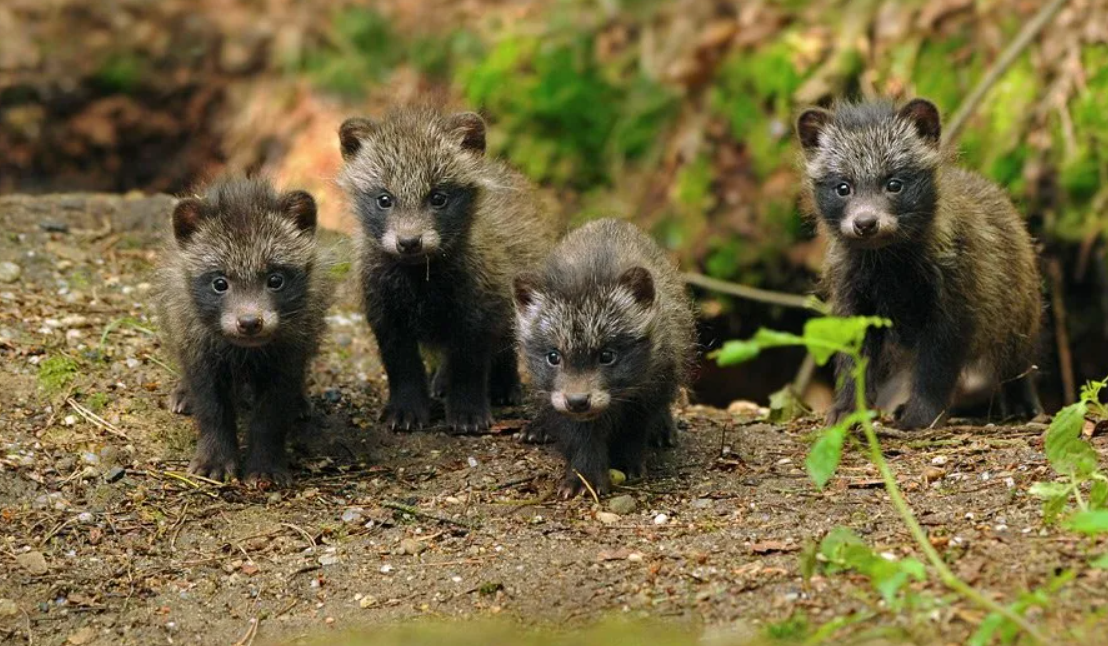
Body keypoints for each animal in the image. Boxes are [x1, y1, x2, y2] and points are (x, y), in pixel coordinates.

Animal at [157, 177, 327, 485]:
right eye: (219, 283)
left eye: (275, 279)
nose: (249, 322)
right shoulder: (198, 346)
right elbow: (211, 406)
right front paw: (215, 456)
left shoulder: (288, 354)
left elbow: (271, 415)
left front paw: (265, 463)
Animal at [511, 219, 691, 498]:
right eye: (553, 357)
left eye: (607, 355)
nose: (577, 401)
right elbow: (580, 437)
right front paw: (584, 476)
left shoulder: (649, 388)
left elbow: (633, 428)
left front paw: (626, 462)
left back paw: (664, 428)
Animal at [797, 97, 1037, 429]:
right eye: (843, 187)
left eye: (894, 183)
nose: (866, 222)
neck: (888, 266)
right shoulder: (851, 292)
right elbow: (854, 355)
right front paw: (848, 407)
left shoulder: (959, 290)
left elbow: (937, 362)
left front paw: (922, 414)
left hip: (1019, 307)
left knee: (1017, 360)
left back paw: (1020, 404)